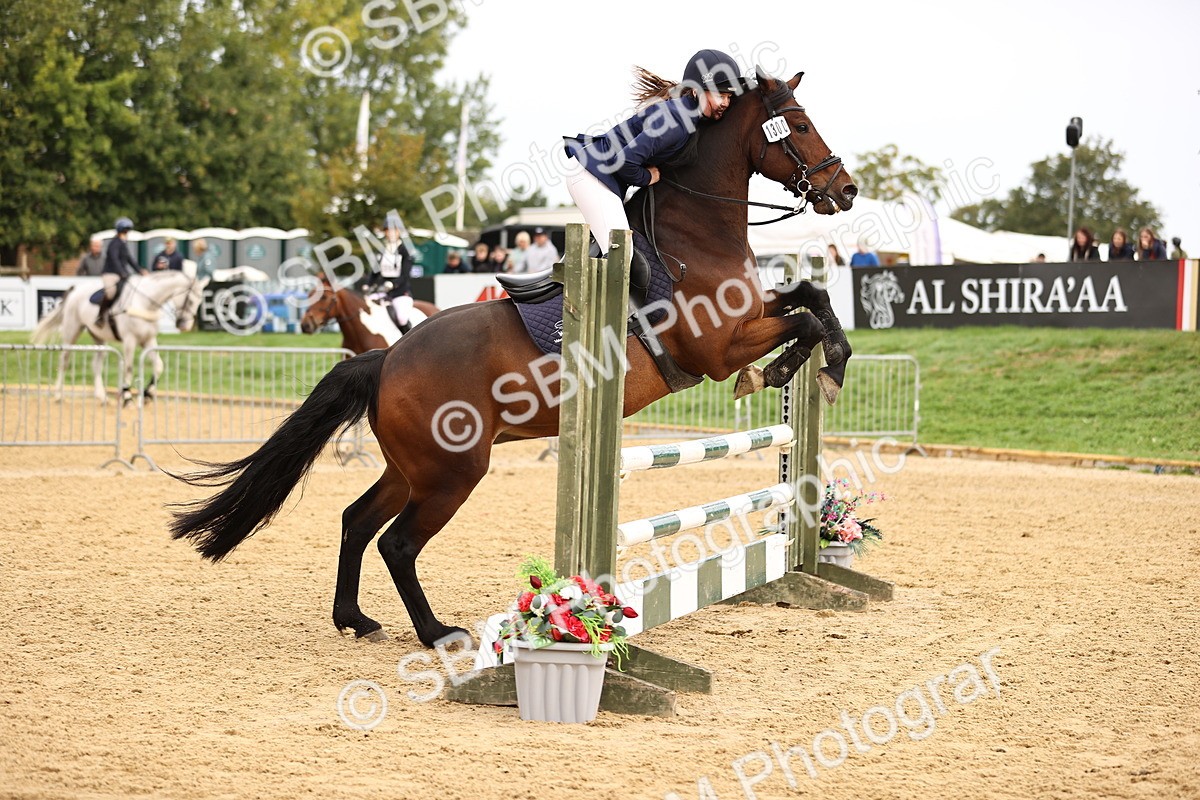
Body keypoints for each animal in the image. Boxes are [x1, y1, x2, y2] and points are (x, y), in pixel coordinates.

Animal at [32, 270, 206, 405]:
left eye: (200, 301)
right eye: (190, 300)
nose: (185, 326)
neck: (145, 302)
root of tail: (74, 291)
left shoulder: (148, 340)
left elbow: (159, 366)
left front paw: (147, 394)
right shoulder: (130, 340)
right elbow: (128, 368)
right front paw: (127, 397)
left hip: (99, 339)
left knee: (96, 365)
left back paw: (102, 397)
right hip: (71, 332)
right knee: (64, 361)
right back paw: (58, 396)